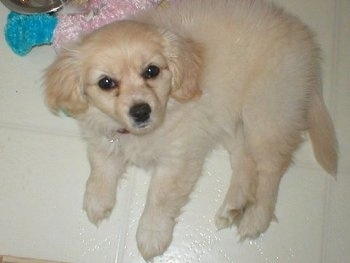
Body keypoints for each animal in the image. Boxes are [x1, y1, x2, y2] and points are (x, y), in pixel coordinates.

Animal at [43, 0, 336, 260]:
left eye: (152, 71)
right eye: (106, 83)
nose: (141, 111)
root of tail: (305, 39)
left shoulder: (177, 159)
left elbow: (159, 198)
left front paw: (151, 234)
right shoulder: (104, 137)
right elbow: (99, 166)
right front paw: (96, 199)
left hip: (265, 111)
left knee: (271, 167)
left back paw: (256, 217)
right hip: (230, 118)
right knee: (245, 160)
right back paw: (234, 205)